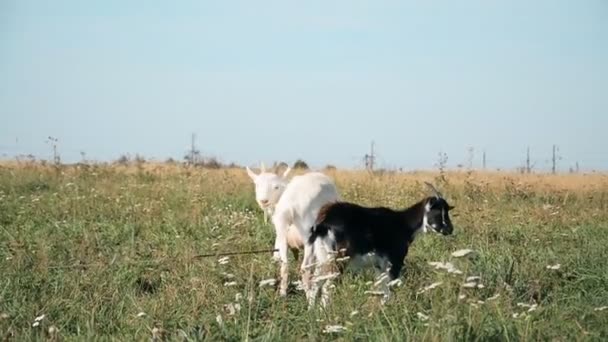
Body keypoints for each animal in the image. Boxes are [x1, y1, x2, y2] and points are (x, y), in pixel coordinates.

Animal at [306, 183, 454, 308]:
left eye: (447, 211)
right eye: (437, 212)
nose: (450, 229)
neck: (403, 224)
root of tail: (322, 223)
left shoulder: (379, 265)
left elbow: (383, 288)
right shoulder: (395, 261)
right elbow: (391, 286)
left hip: (322, 258)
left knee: (315, 283)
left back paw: (312, 311)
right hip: (338, 258)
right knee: (327, 286)